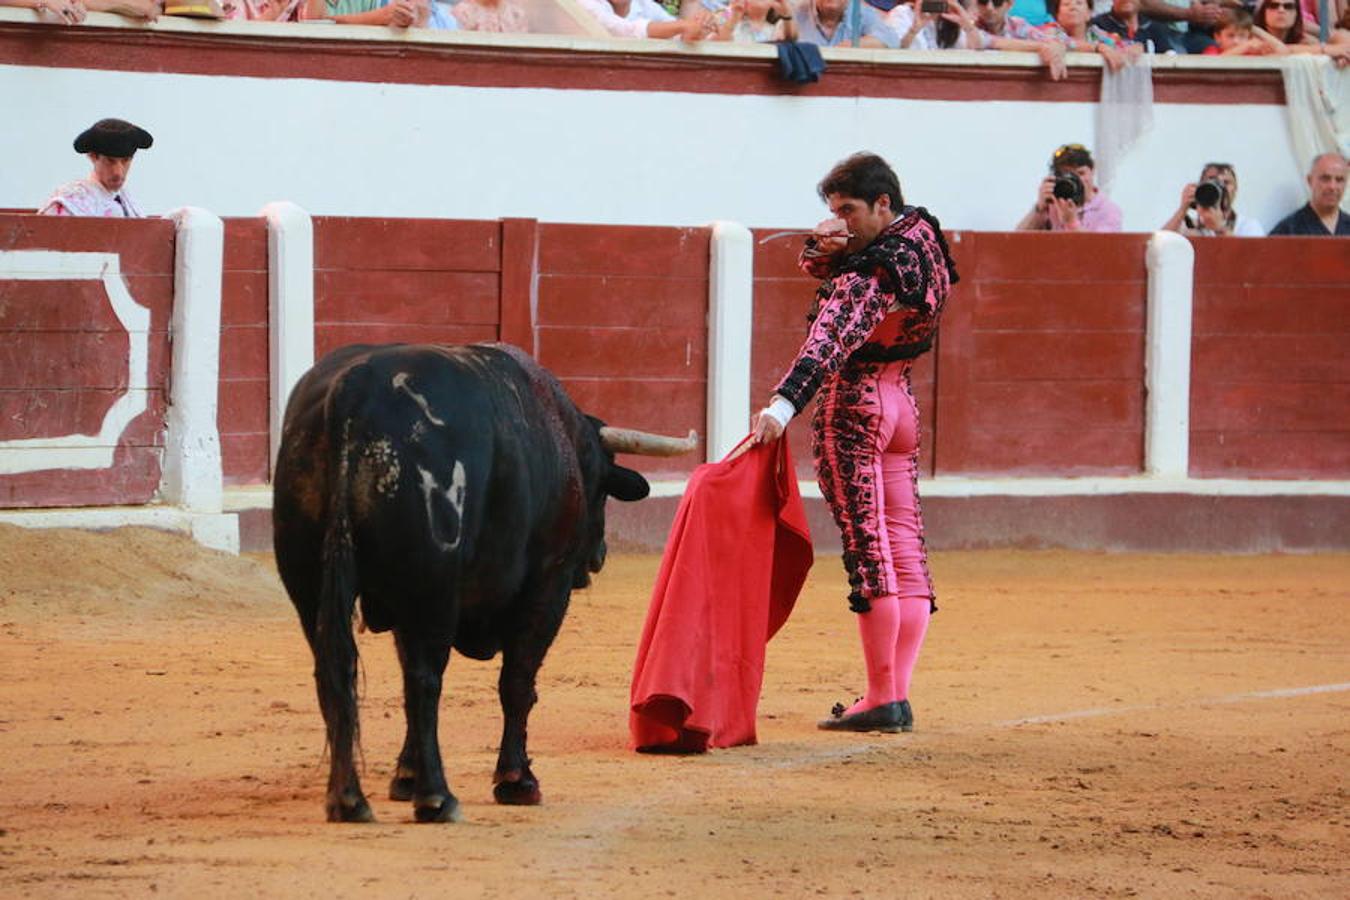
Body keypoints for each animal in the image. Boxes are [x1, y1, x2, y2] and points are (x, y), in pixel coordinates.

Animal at [274, 345, 696, 825]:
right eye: (602, 489)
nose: (599, 556)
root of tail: (353, 389)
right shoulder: (547, 584)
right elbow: (518, 681)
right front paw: (517, 780)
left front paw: (404, 776)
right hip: (433, 586)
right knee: (424, 680)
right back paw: (436, 798)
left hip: (311, 585)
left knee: (336, 672)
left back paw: (348, 800)